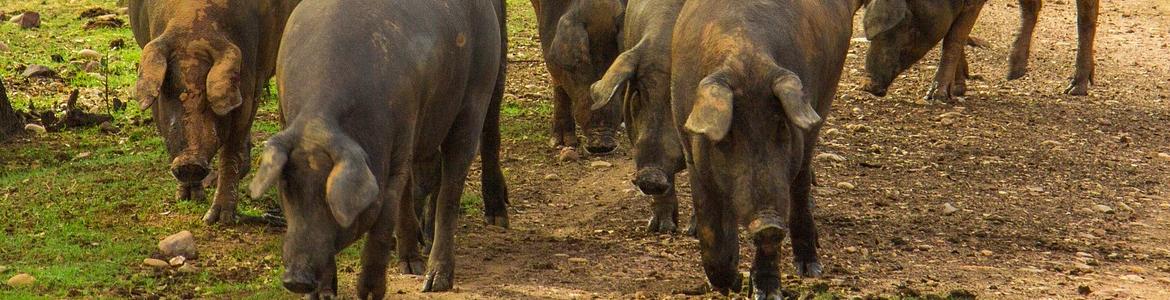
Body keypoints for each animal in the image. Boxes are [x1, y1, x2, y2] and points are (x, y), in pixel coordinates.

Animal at [129, 0, 301, 223]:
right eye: (169, 92)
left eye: (207, 98)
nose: (190, 162)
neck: (191, 24)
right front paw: (187, 198)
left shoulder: (252, 79)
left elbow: (231, 149)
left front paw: (218, 219)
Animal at [249, 0, 510, 295]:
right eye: (288, 188)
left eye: (329, 195)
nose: (296, 279)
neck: (321, 119)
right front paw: (324, 293)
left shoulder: (397, 143)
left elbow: (382, 226)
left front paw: (369, 293)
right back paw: (410, 266)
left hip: (477, 92)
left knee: (451, 186)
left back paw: (435, 280)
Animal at [669, 0, 861, 297]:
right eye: (728, 136)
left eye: (780, 126)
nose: (767, 222)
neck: (746, 55)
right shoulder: (691, 152)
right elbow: (711, 230)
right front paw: (731, 284)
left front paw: (766, 293)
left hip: (822, 102)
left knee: (801, 183)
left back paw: (810, 269)